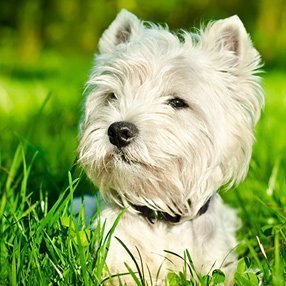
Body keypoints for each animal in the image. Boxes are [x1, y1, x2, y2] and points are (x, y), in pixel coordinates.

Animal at [77, 10, 264, 284]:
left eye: (177, 102)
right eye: (112, 96)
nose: (118, 131)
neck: (163, 215)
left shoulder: (219, 263)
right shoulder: (116, 259)